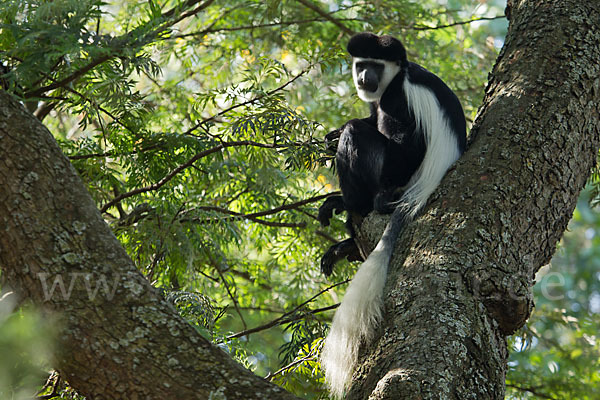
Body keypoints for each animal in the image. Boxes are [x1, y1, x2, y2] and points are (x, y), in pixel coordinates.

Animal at [322, 32, 466, 398]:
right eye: (361, 64)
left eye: (374, 66)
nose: (364, 78)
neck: (397, 75)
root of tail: (423, 187)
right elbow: (369, 116)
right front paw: (332, 132)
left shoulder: (397, 98)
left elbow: (403, 143)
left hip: (395, 176)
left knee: (362, 136)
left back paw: (361, 205)